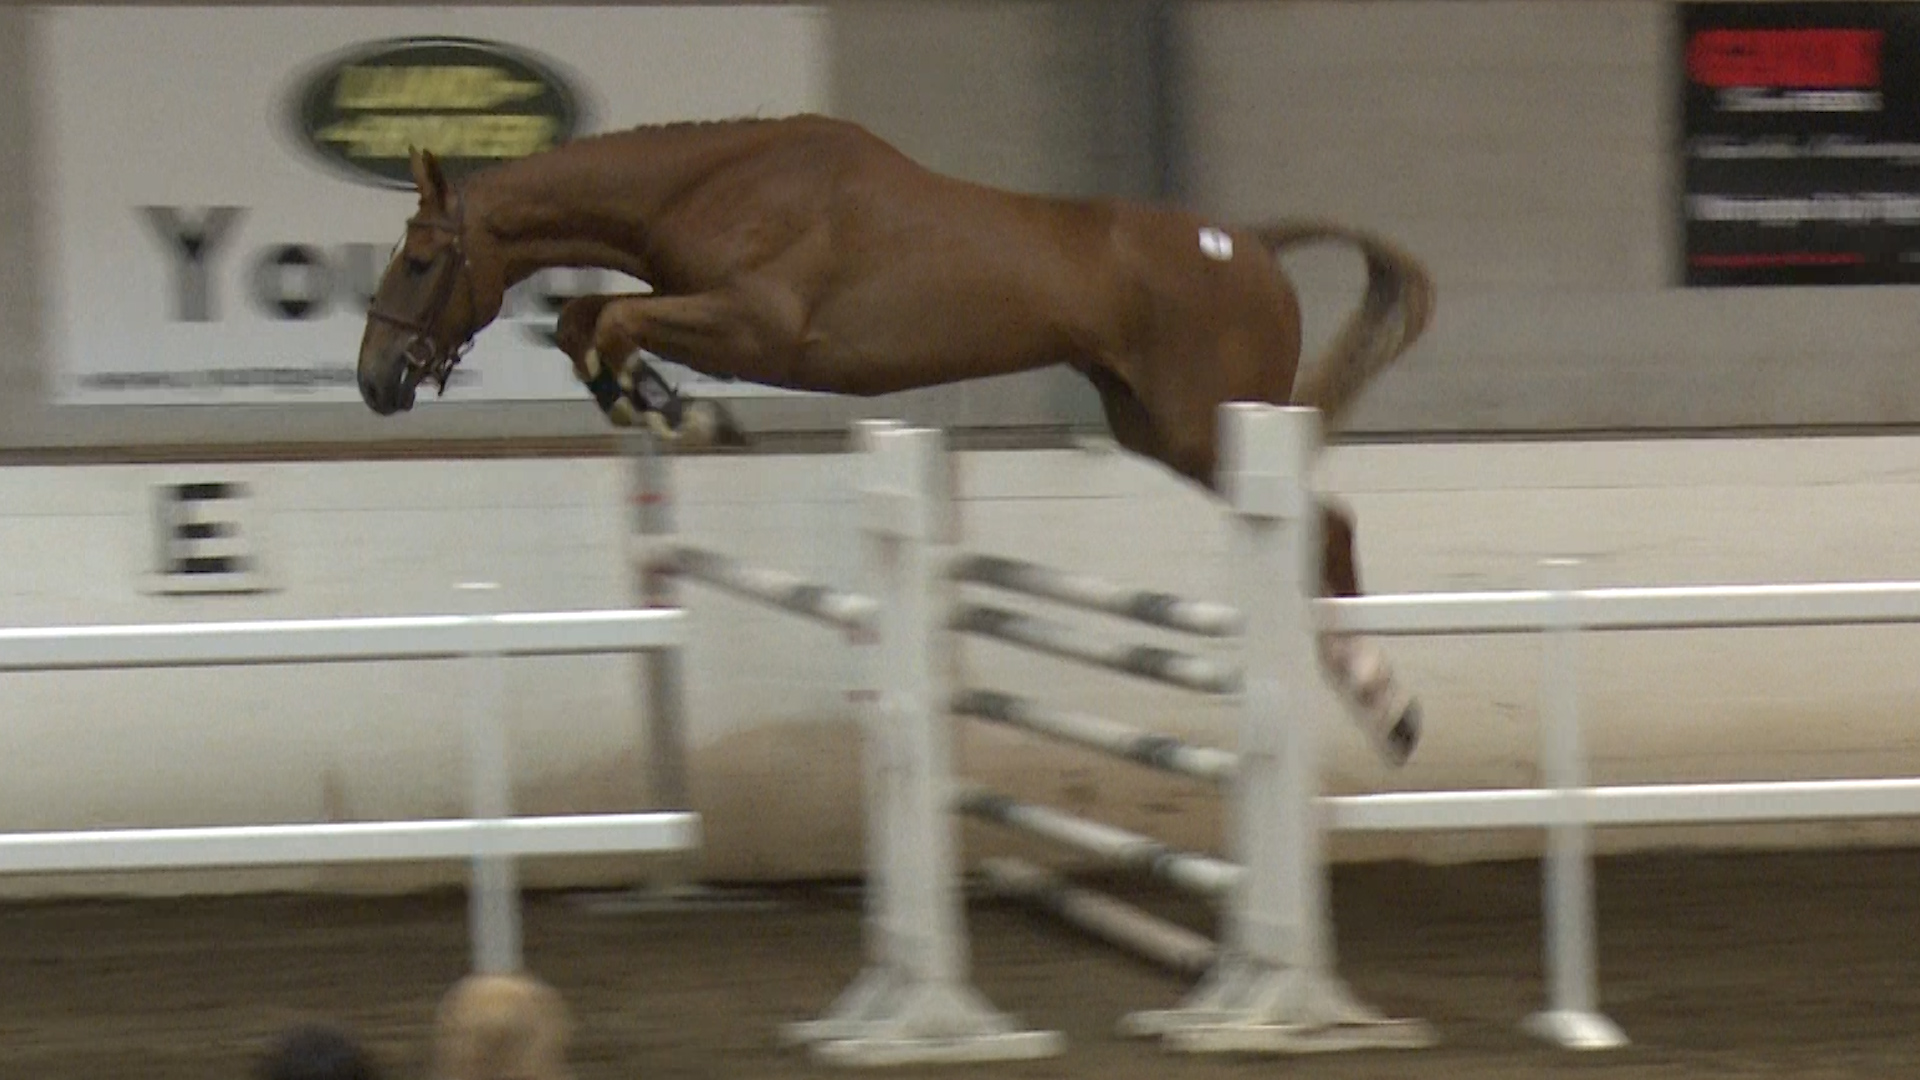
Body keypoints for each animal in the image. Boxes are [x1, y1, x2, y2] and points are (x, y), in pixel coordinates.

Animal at [356, 113, 1435, 766]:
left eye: (418, 263)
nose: (376, 380)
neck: (712, 183)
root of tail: (1250, 245)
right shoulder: (702, 309)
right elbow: (586, 318)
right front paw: (659, 405)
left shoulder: (756, 326)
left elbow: (611, 319)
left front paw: (674, 409)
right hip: (1161, 430)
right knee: (1312, 529)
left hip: (1208, 426)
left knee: (1324, 526)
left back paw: (1386, 705)